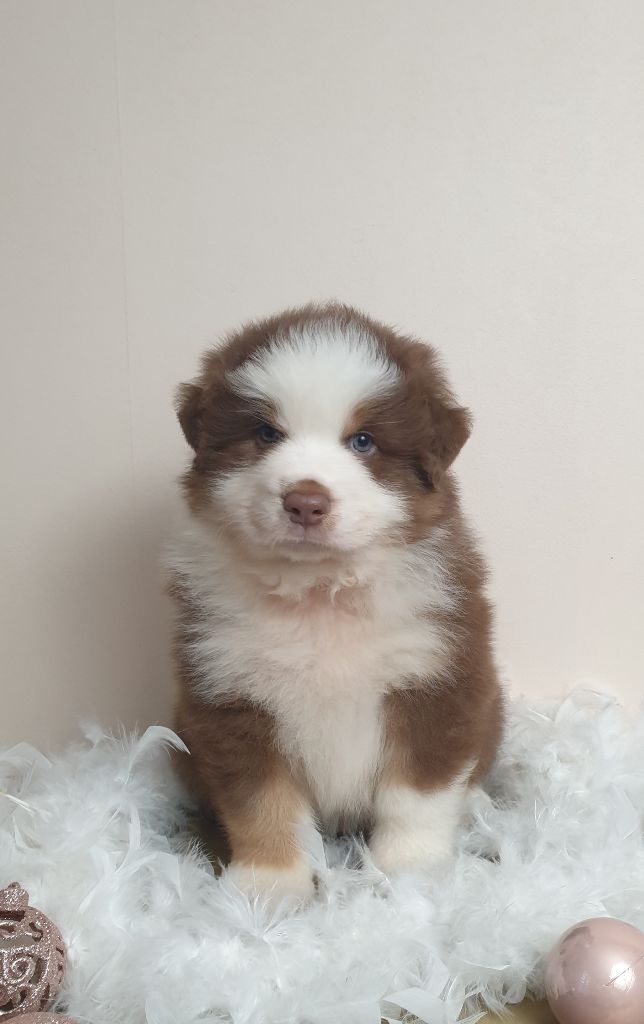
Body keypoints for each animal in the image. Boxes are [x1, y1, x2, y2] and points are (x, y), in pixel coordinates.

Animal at [169, 302, 503, 901]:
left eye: (363, 441)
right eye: (265, 433)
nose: (305, 501)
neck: (319, 593)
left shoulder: (437, 680)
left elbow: (416, 795)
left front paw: (411, 870)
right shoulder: (229, 695)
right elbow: (261, 803)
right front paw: (269, 885)